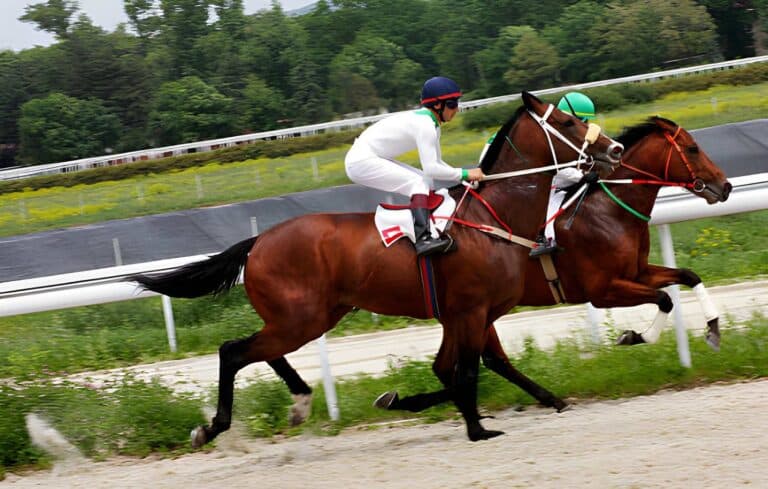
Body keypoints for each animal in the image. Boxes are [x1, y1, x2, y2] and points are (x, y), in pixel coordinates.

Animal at [130, 91, 625, 445]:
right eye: (568, 122)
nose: (615, 148)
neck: (492, 218)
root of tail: (259, 241)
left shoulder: (468, 315)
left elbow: (469, 367)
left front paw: (545, 401)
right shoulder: (470, 311)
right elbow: (465, 372)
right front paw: (476, 428)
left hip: (311, 317)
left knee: (259, 352)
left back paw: (300, 402)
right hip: (300, 318)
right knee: (232, 351)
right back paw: (215, 426)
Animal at [373, 116, 732, 416]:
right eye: (692, 148)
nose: (725, 186)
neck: (608, 212)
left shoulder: (636, 272)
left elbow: (688, 276)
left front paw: (713, 330)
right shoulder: (603, 290)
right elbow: (665, 299)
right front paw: (632, 336)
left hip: (467, 310)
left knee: (474, 362)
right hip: (472, 308)